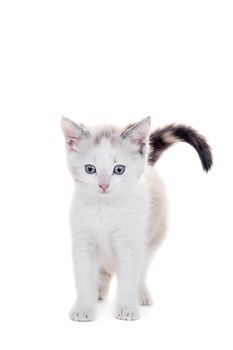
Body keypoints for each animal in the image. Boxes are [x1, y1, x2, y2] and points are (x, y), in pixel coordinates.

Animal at [61, 116, 213, 322]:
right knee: (104, 270)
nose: (103, 185)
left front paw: (126, 308)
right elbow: (85, 278)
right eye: (90, 169)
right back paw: (98, 290)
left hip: (153, 236)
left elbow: (129, 278)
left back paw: (141, 294)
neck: (105, 208)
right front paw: (84, 307)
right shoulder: (83, 243)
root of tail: (148, 164)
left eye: (119, 169)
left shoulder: (131, 244)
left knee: (141, 271)